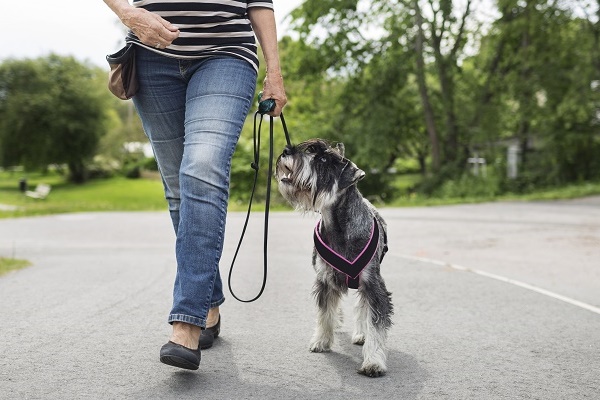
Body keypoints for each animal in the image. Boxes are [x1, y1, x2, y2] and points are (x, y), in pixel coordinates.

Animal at [276, 139, 394, 376]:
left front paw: (373, 362)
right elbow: (325, 312)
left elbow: (375, 322)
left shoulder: (373, 284)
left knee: (362, 307)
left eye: (322, 160)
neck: (338, 227)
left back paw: (361, 334)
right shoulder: (324, 280)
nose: (285, 151)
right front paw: (321, 341)